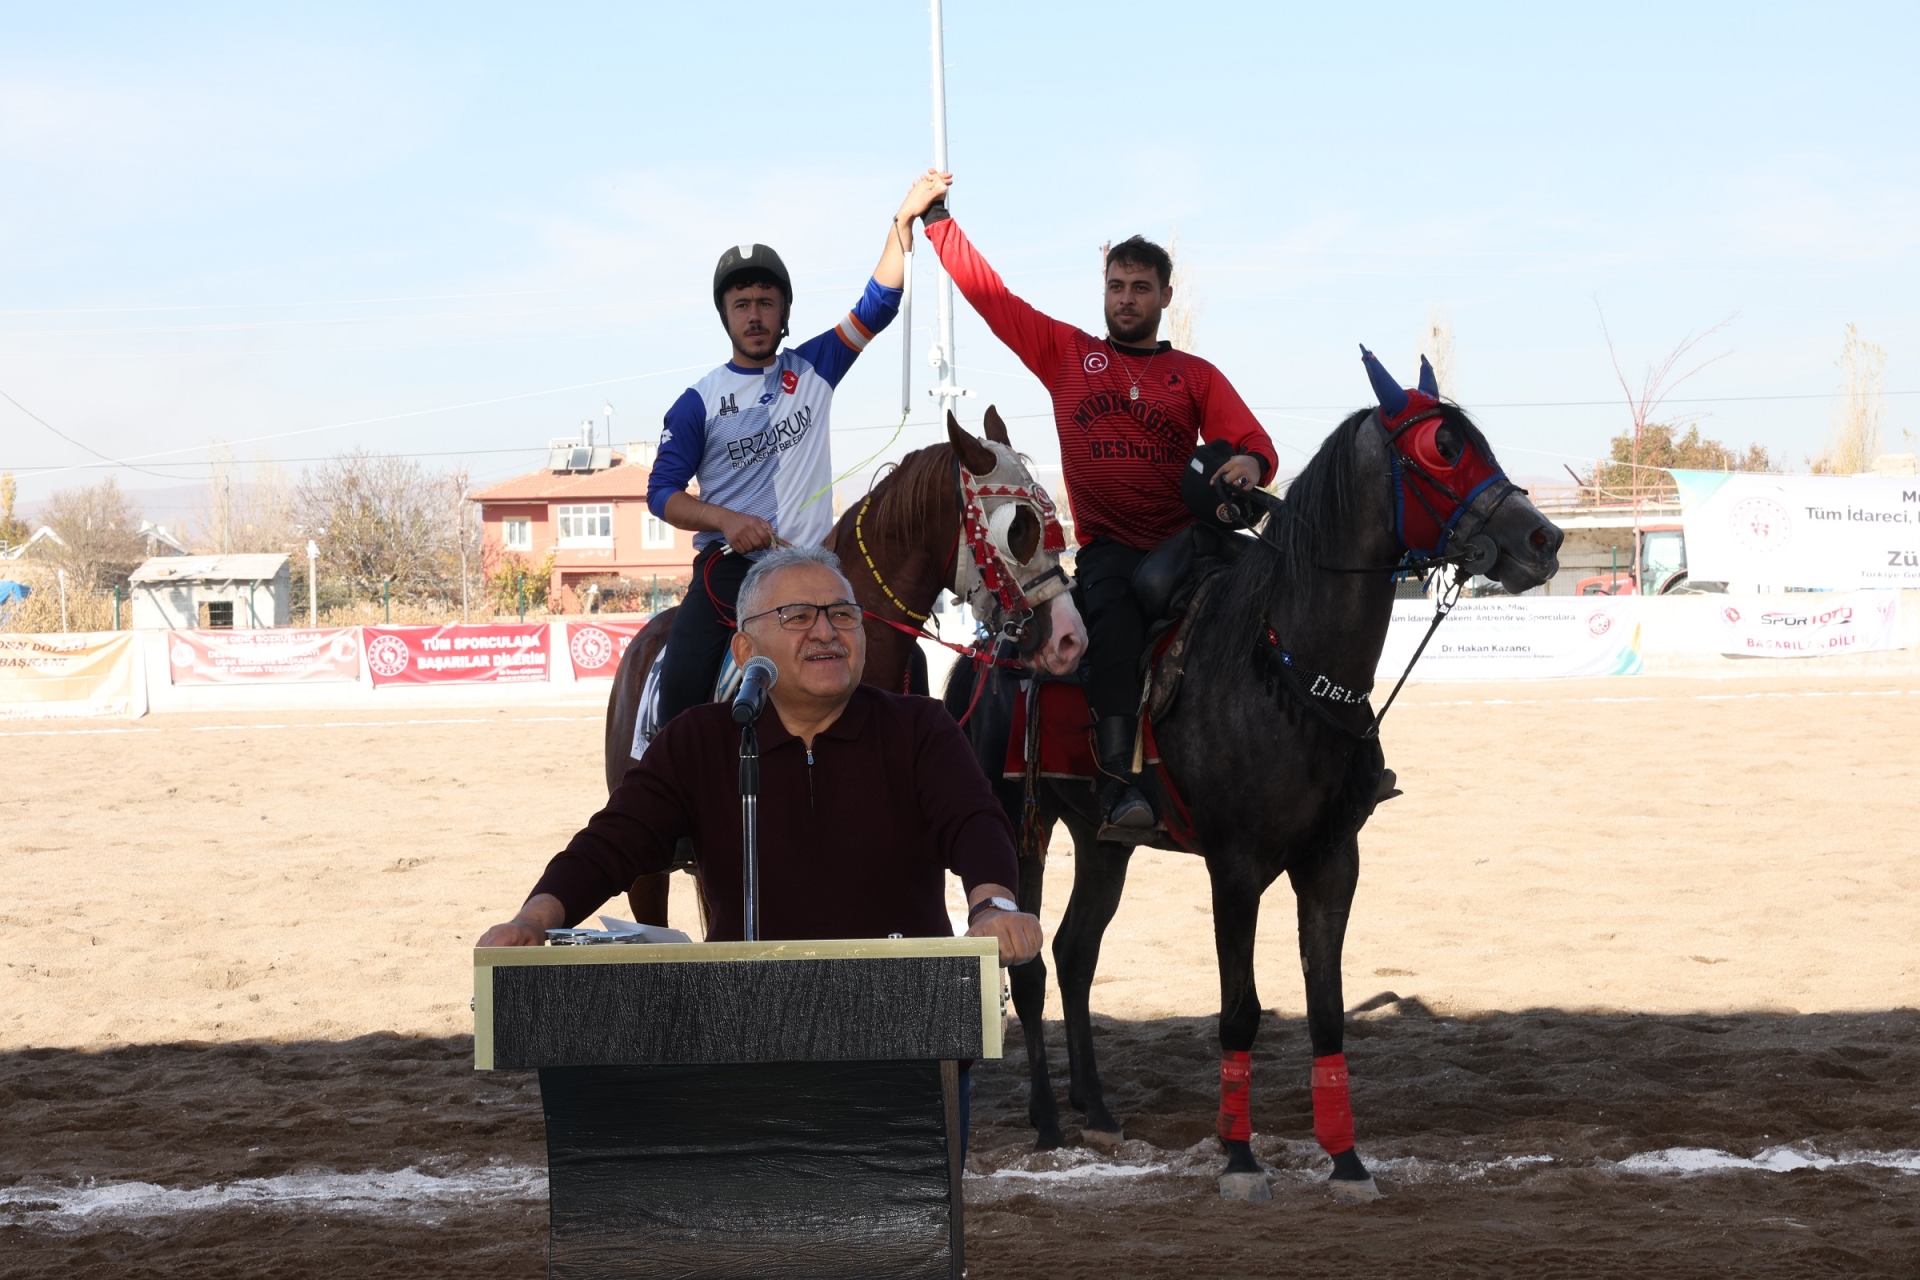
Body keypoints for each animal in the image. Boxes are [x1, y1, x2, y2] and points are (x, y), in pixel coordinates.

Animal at [952, 353, 1566, 1205]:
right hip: (1022, 829)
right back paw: (1047, 1121)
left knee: (1076, 954)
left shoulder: (1333, 863)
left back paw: (1097, 1110)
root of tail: (991, 644)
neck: (1280, 664)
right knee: (1032, 962)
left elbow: (1328, 1011)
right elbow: (1238, 1011)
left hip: (1104, 839)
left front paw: (1346, 1161)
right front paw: (1240, 1157)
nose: (1544, 537)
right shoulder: (1235, 868)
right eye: (1444, 449)